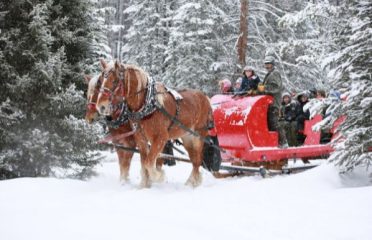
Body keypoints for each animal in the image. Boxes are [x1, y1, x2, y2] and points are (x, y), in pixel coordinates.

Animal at [96, 59, 212, 188]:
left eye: (115, 81)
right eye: (101, 81)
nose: (101, 106)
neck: (147, 105)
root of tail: (205, 97)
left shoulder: (161, 138)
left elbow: (149, 162)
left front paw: (159, 176)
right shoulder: (140, 138)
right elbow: (144, 162)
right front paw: (144, 185)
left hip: (198, 135)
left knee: (198, 160)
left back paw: (193, 183)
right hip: (187, 136)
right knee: (194, 160)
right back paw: (191, 182)